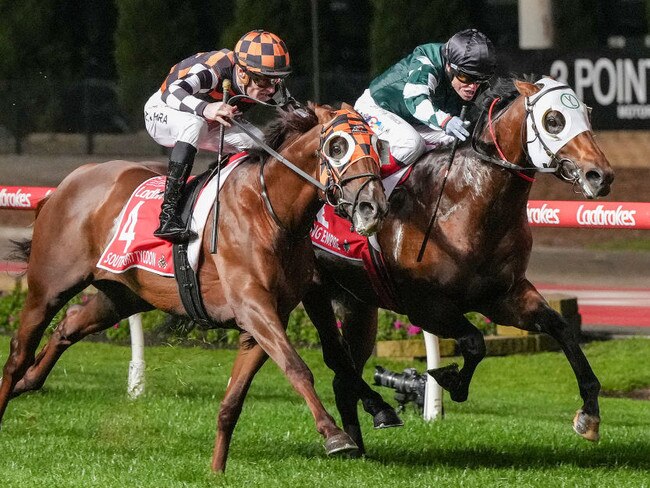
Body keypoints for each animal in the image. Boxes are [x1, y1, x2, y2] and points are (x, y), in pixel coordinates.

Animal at [0, 105, 388, 470]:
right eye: (337, 146)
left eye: (378, 145)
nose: (372, 207)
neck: (271, 210)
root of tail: (66, 184)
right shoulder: (253, 306)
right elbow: (296, 366)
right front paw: (334, 435)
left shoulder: (266, 316)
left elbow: (234, 399)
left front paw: (217, 469)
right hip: (48, 288)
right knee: (19, 353)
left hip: (122, 295)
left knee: (68, 325)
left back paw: (29, 382)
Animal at [298, 76, 612, 454]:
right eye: (554, 120)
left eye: (588, 114)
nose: (600, 176)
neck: (466, 200)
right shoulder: (423, 305)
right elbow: (475, 342)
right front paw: (447, 379)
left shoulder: (502, 295)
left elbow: (560, 328)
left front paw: (589, 415)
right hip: (312, 290)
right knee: (333, 360)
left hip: (358, 303)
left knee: (343, 377)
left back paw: (357, 446)